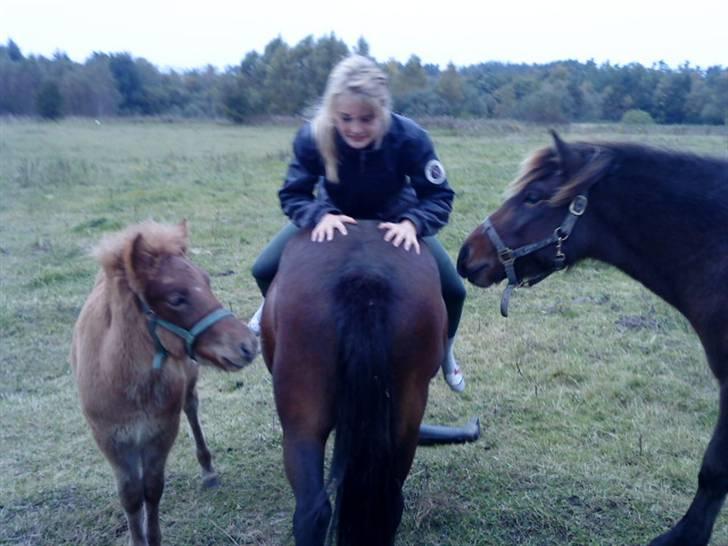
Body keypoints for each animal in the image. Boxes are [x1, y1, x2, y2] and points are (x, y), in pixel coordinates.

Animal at [69, 220, 256, 544]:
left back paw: (208, 470)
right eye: (176, 299)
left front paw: (153, 537)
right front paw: (138, 537)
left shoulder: (161, 430)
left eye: (207, 281)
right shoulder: (110, 439)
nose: (248, 344)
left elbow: (152, 488)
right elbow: (131, 495)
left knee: (191, 407)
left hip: (189, 379)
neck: (121, 378)